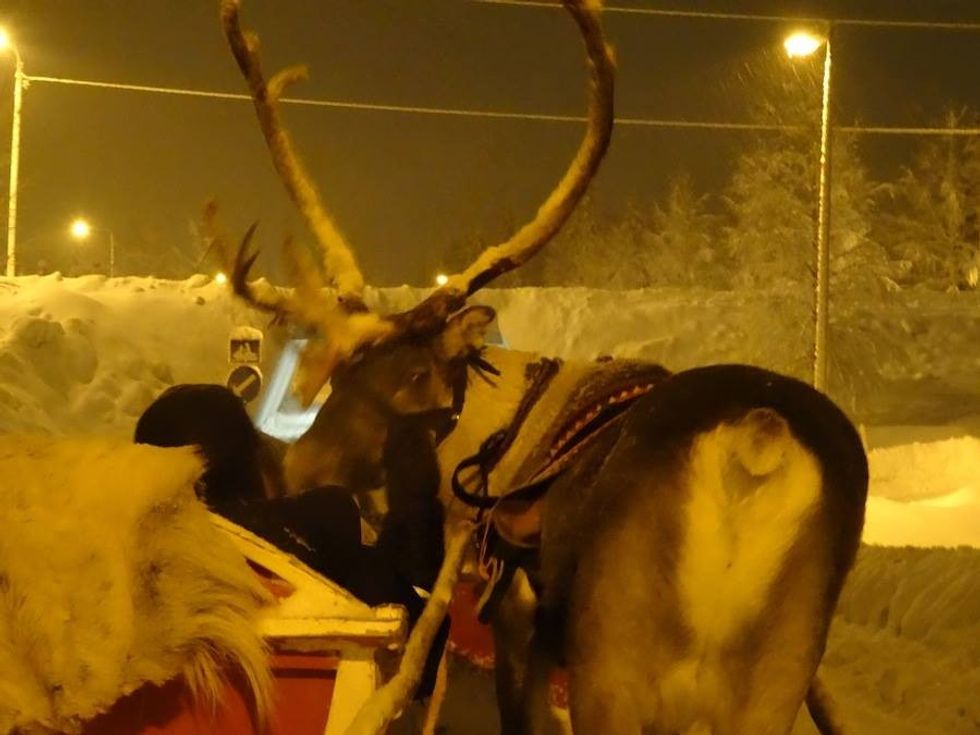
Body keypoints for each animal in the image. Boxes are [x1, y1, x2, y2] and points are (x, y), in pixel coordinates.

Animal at [214, 1, 868, 733]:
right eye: (341, 373)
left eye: (410, 377)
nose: (294, 468)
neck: (497, 441)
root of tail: (756, 439)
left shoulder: (516, 624)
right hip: (774, 681)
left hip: (614, 665)